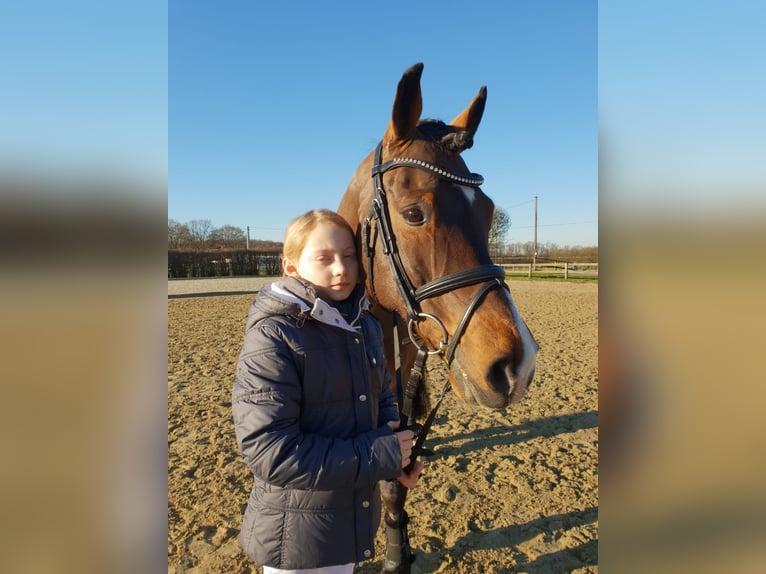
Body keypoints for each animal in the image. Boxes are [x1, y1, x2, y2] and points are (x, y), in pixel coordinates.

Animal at [338, 63, 539, 574]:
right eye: (414, 213)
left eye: (488, 212)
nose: (517, 366)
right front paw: (395, 550)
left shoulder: (410, 352)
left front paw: (400, 544)